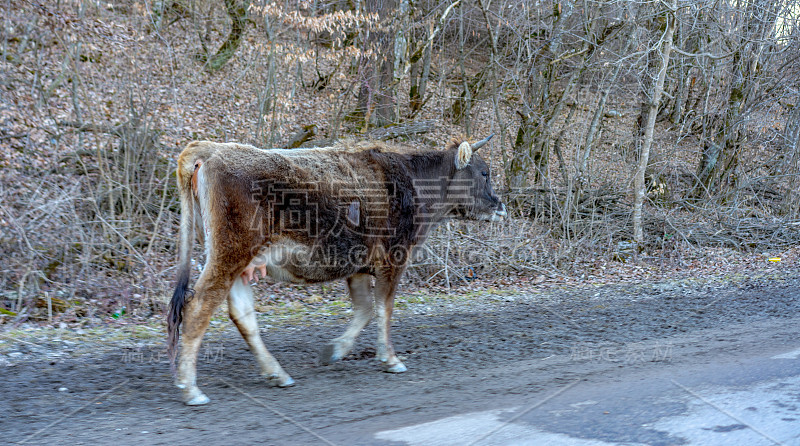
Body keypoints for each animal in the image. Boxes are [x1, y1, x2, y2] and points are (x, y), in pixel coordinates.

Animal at [167, 135, 506, 404]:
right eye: (485, 172)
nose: (500, 206)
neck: (413, 180)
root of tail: (211, 148)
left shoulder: (358, 265)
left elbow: (366, 309)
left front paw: (334, 350)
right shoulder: (394, 257)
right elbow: (384, 308)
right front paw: (390, 359)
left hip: (241, 265)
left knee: (242, 315)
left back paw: (276, 373)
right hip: (229, 256)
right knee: (197, 308)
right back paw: (190, 388)